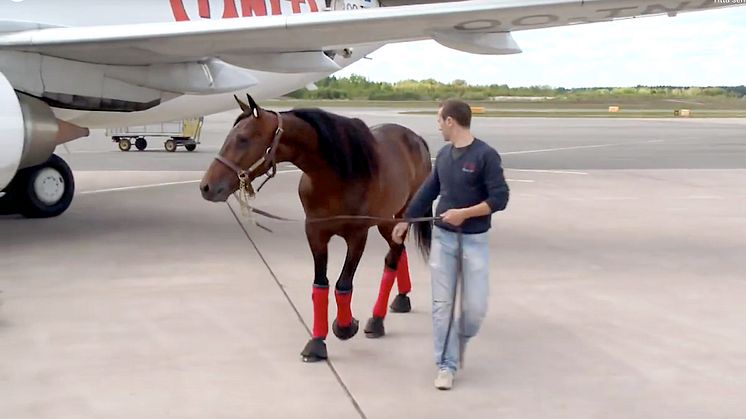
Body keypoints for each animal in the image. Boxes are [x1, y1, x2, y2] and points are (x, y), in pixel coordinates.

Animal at [199, 96, 430, 364]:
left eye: (243, 138)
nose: (207, 187)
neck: (336, 176)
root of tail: (416, 138)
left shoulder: (357, 236)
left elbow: (343, 285)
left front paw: (345, 326)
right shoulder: (315, 234)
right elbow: (320, 285)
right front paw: (317, 343)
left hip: (398, 216)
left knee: (392, 257)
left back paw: (377, 319)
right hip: (386, 221)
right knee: (396, 252)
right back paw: (401, 299)